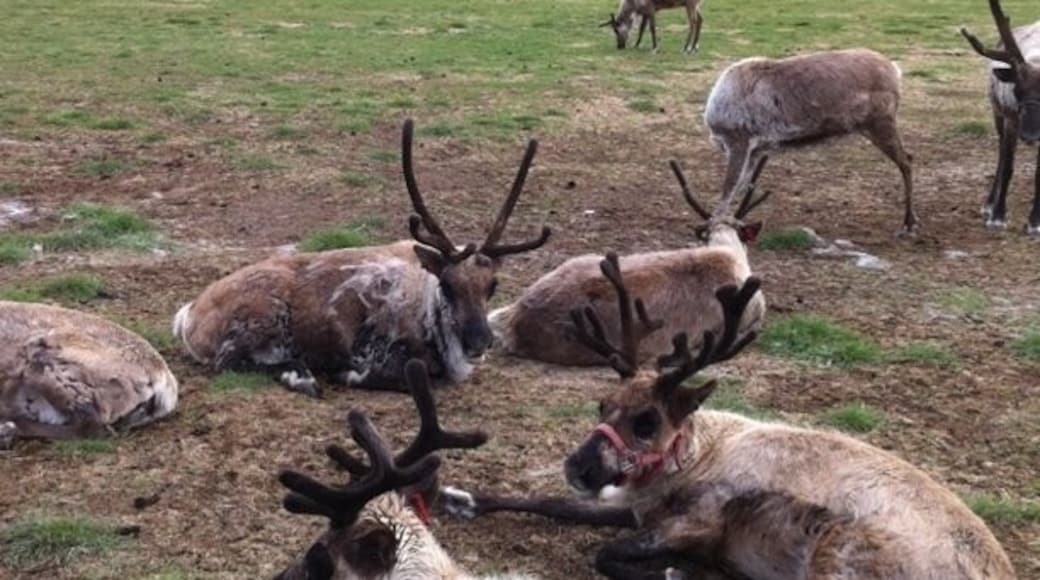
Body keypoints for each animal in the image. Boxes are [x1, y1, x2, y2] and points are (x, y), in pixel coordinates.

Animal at [173, 119, 550, 397]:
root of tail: (189, 315)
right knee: (229, 362)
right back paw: (303, 377)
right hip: (260, 318)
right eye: (447, 284)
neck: (428, 318)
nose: (479, 342)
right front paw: (345, 374)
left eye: (493, 285)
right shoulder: (372, 349)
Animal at [443, 254, 1016, 579]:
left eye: (648, 421)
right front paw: (463, 497)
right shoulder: (635, 506)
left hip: (837, 555)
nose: (577, 467)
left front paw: (676, 570)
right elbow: (548, 502)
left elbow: (607, 555)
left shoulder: (696, 519)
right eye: (602, 405)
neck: (696, 454)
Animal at [704, 48, 918, 235]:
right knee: (908, 158)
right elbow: (741, 186)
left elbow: (727, 191)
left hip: (880, 123)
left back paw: (908, 224)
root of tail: (895, 70)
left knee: (906, 161)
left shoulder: (738, 140)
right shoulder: (755, 149)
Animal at [961, 0, 1040, 234]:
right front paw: (997, 216)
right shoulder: (1012, 119)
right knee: (1001, 156)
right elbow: (1008, 167)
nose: (1030, 136)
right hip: (998, 114)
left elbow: (1039, 174)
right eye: (1017, 90)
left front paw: (1035, 222)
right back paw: (989, 205)